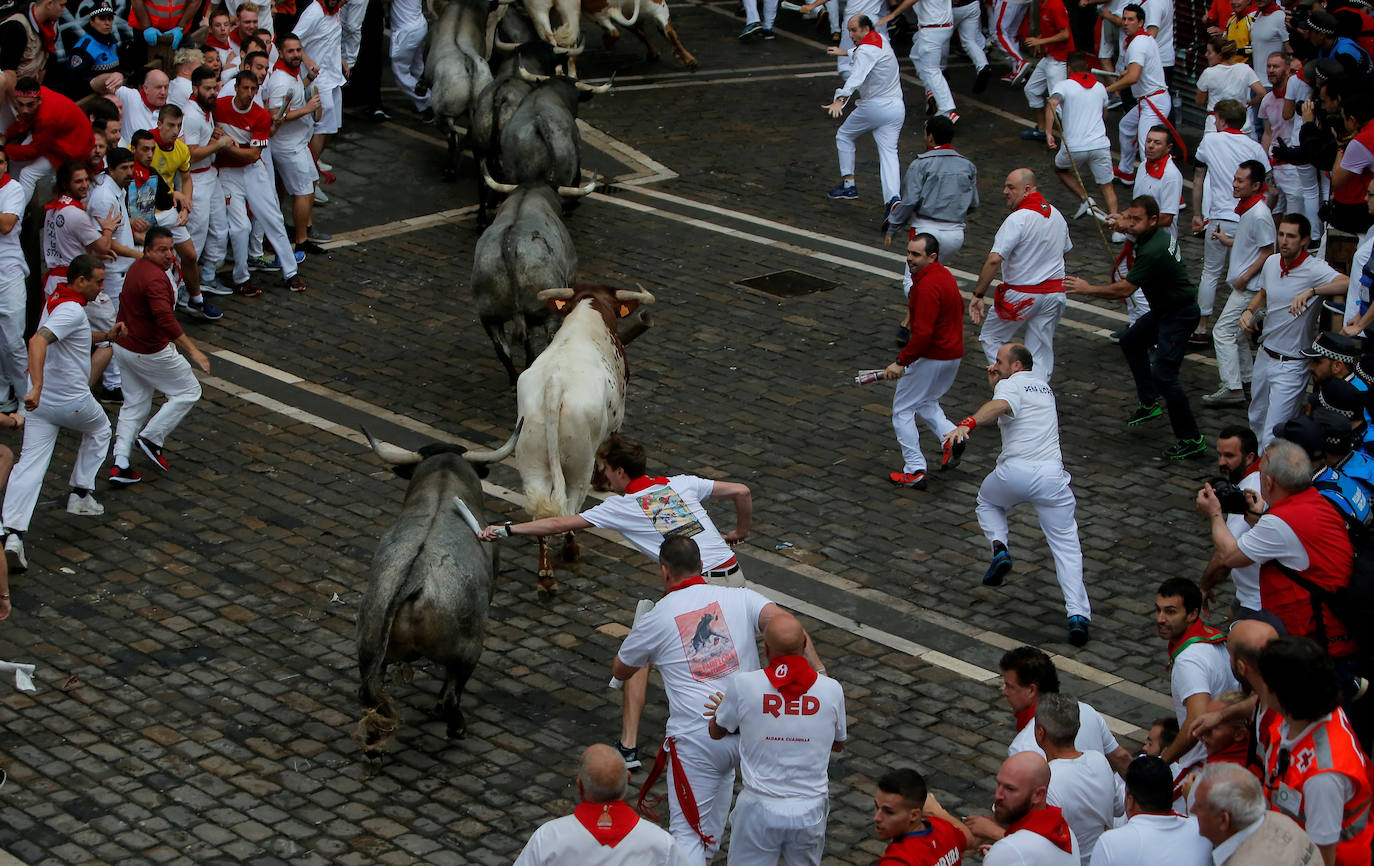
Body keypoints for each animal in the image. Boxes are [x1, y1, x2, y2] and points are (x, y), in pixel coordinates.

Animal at [354, 423, 519, 758]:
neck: (443, 488)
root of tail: (413, 577)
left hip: (369, 647)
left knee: (371, 698)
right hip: (467, 650)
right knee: (451, 696)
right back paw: (456, 726)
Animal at [516, 287, 654, 596]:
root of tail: (554, 385)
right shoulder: (616, 417)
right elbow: (608, 451)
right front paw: (603, 482)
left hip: (532, 461)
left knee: (541, 513)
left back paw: (546, 575)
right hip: (578, 465)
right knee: (569, 508)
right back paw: (570, 551)